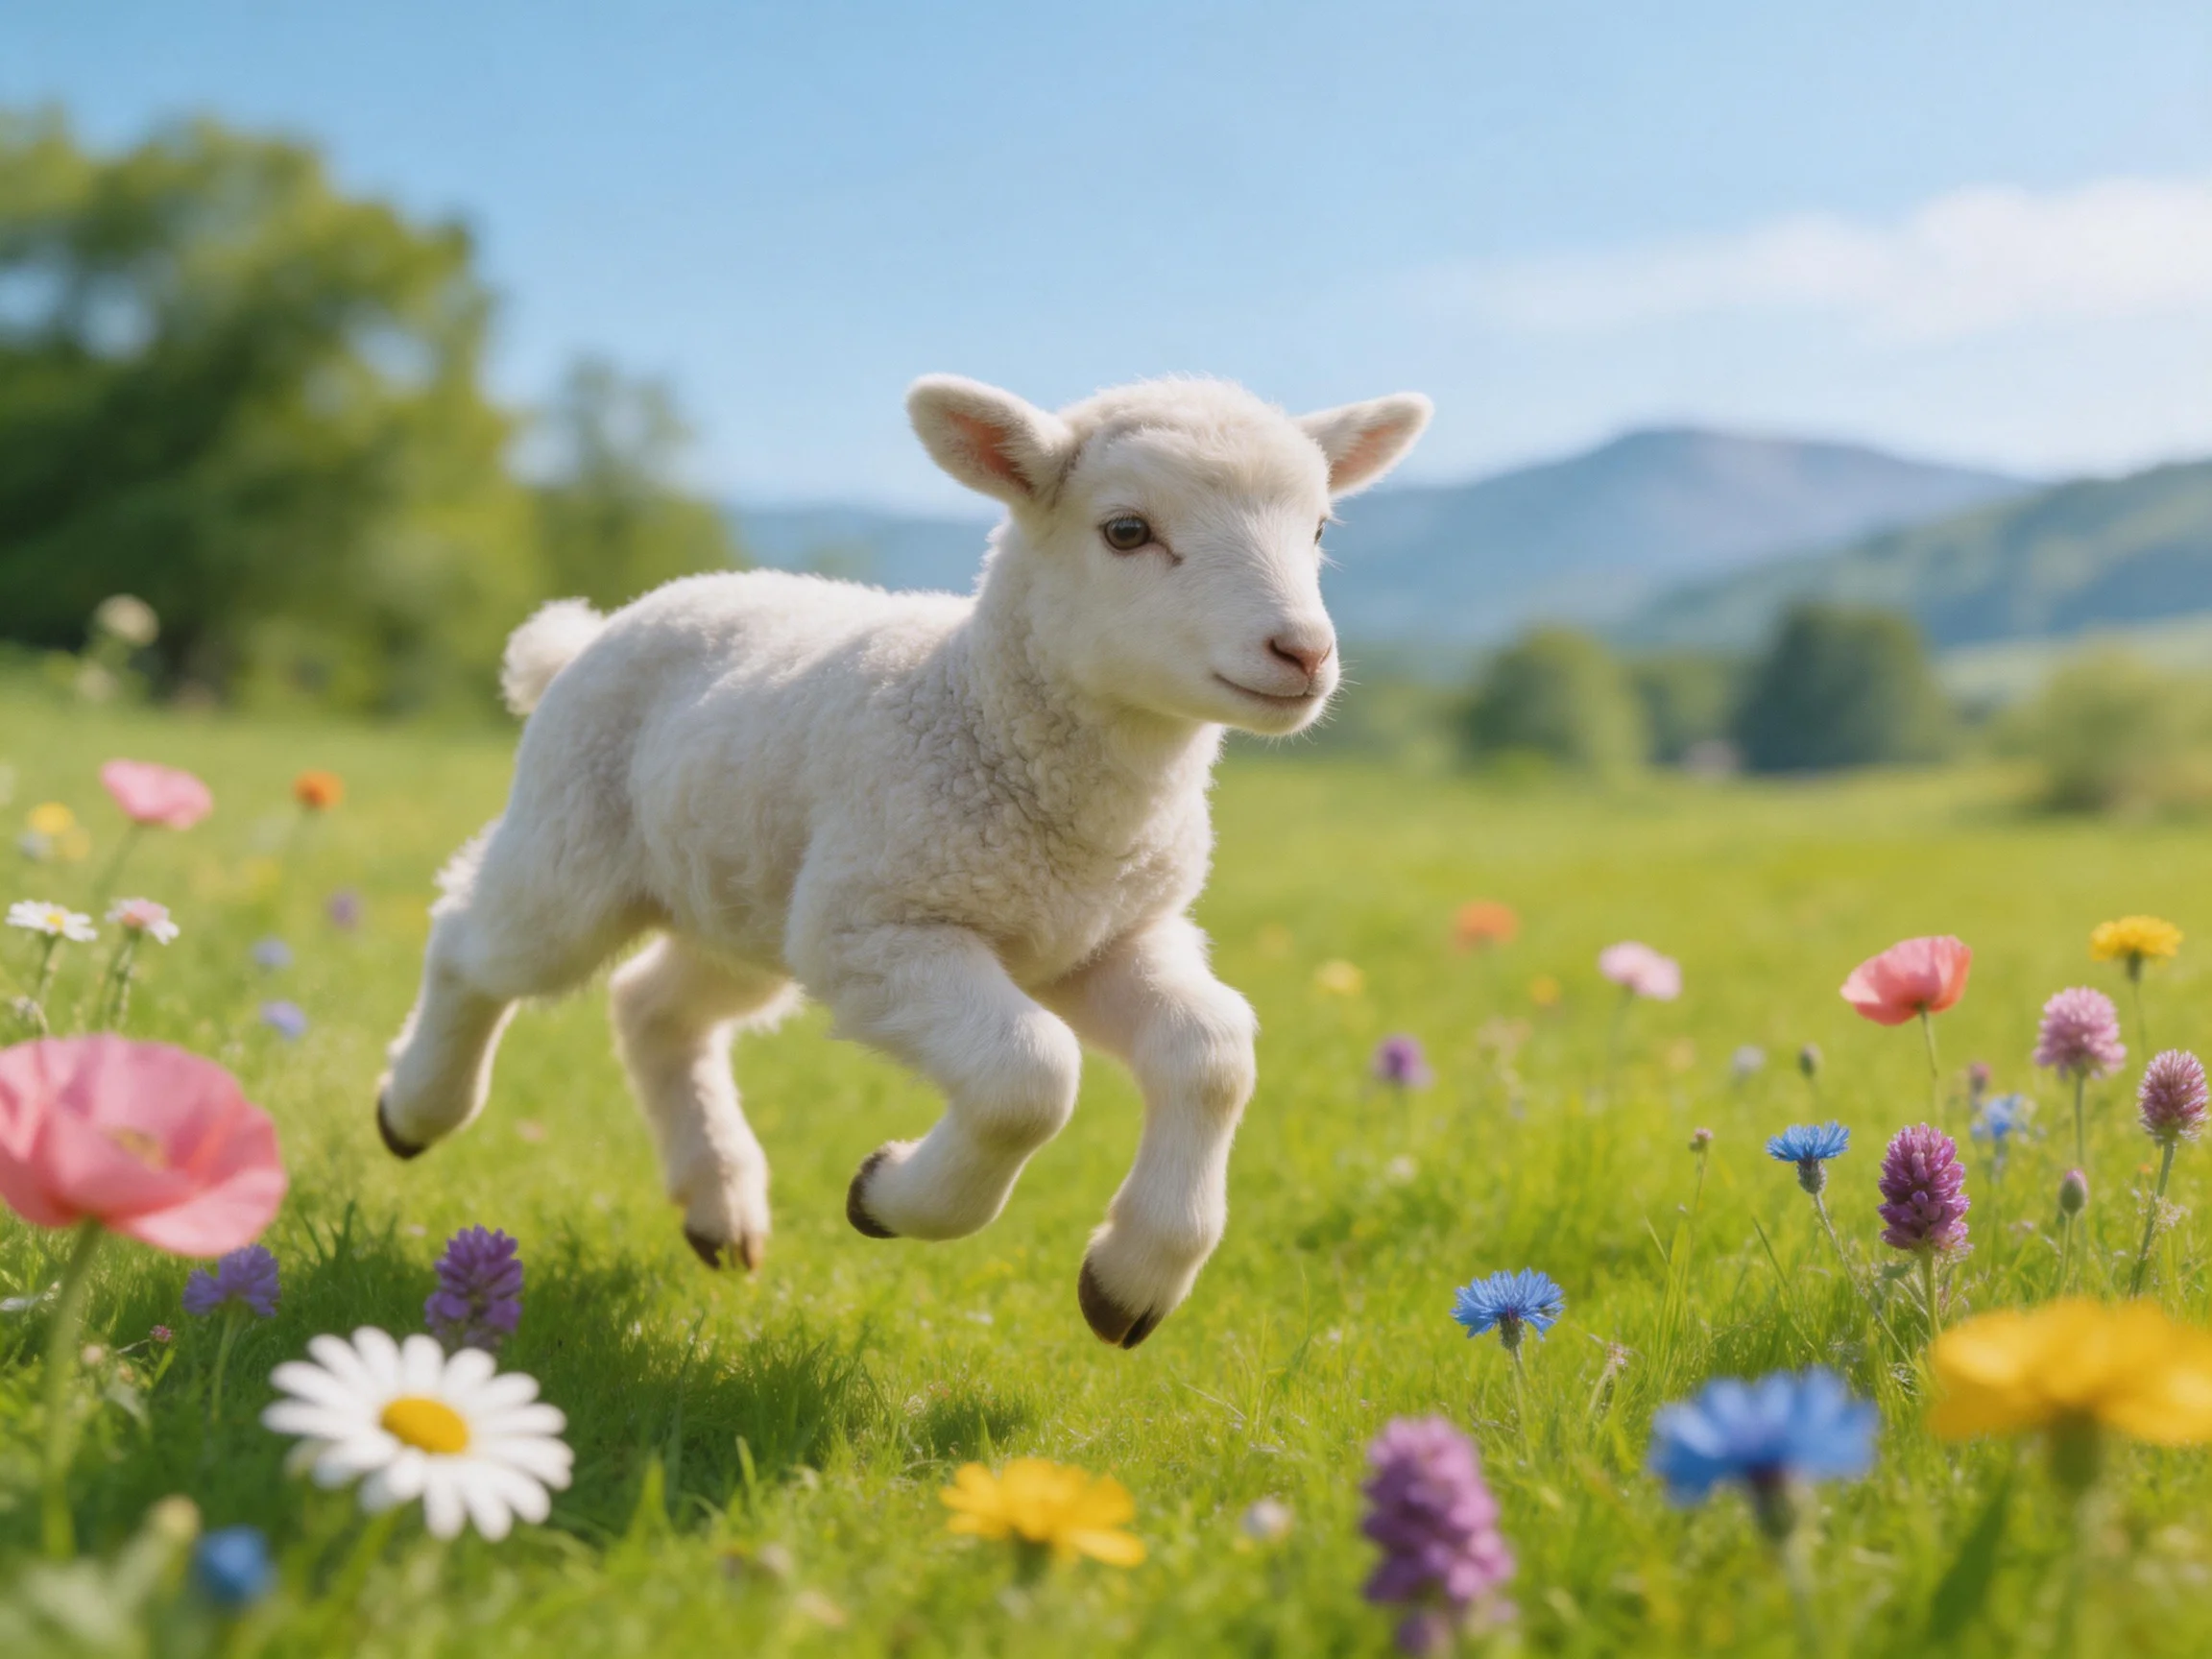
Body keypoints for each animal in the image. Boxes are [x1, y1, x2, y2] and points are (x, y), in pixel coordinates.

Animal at [376, 373, 1431, 1346]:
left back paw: (719, 1203)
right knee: (473, 940)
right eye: (1127, 530)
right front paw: (893, 1199)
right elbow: (1026, 1075)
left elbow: (1212, 1050)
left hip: (746, 899)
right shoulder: (878, 928)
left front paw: (1133, 1281)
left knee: (655, 1008)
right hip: (579, 841)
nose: (1303, 653)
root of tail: (587, 634)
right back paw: (416, 1108)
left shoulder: (1108, 936)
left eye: (1321, 528)